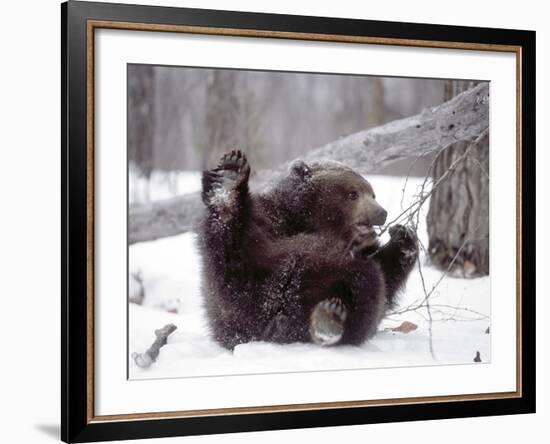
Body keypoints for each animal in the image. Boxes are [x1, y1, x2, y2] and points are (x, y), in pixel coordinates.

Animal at [198, 150, 418, 350]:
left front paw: (404, 238)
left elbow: (386, 279)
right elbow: (231, 264)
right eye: (352, 193)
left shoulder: (365, 251)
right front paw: (228, 179)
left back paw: (328, 319)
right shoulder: (269, 220)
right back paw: (229, 182)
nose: (381, 212)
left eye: (372, 193)